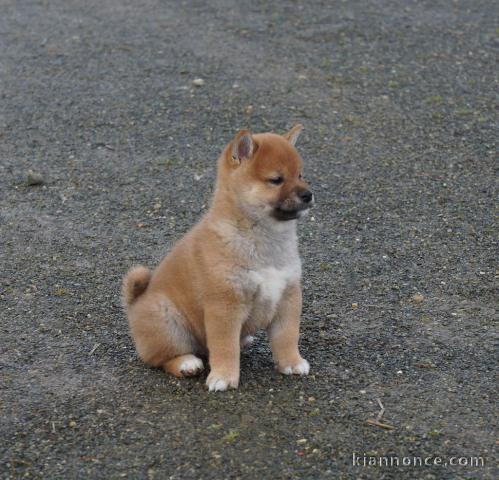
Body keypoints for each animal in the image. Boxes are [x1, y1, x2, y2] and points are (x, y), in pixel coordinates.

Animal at [121, 125, 314, 392]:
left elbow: (287, 336)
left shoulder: (288, 296)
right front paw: (223, 376)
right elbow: (225, 347)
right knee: (161, 358)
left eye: (301, 175)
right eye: (276, 180)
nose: (308, 194)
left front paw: (292, 362)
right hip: (168, 319)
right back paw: (187, 363)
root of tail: (134, 304)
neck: (262, 238)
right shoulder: (225, 304)